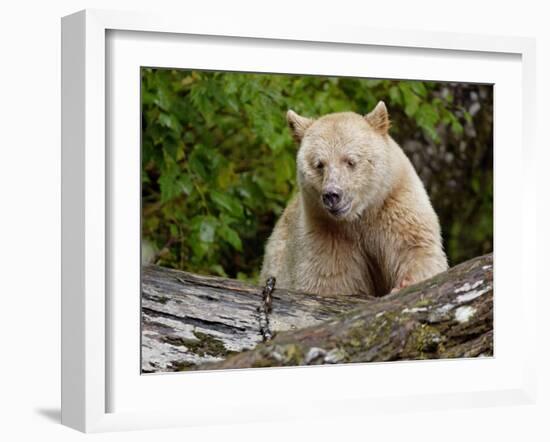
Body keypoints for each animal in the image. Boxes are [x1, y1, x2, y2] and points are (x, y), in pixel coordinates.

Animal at [262, 100, 448, 296]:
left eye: (350, 161)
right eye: (319, 164)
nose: (332, 195)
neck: (359, 217)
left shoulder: (396, 204)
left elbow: (416, 249)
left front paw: (403, 285)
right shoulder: (325, 233)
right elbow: (329, 278)